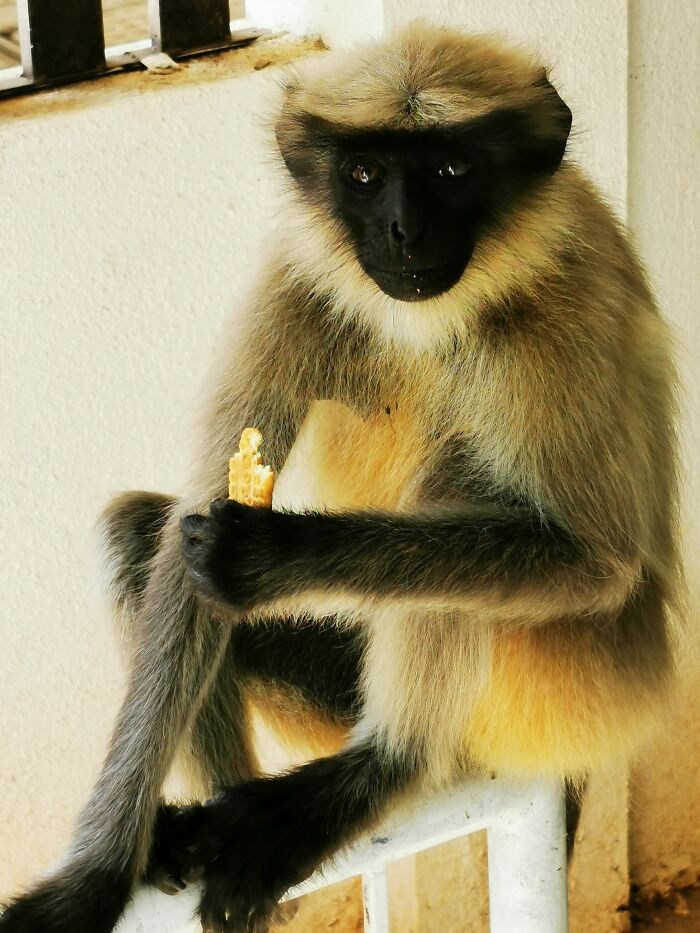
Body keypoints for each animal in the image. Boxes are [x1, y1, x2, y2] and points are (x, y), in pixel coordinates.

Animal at [0, 21, 679, 933]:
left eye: (451, 170)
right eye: (364, 175)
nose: (402, 230)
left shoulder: (562, 308)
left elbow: (596, 564)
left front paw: (276, 555)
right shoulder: (293, 280)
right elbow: (181, 559)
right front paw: (97, 875)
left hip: (570, 687)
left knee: (461, 488)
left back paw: (388, 766)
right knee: (139, 538)